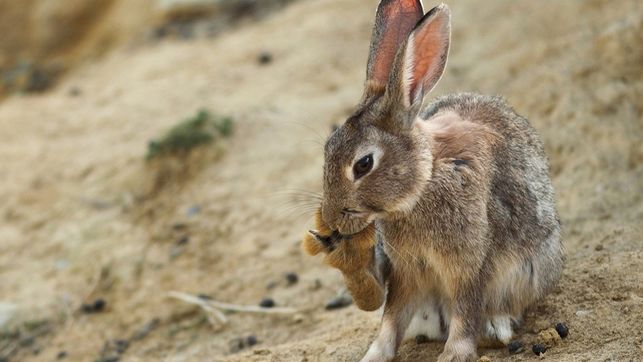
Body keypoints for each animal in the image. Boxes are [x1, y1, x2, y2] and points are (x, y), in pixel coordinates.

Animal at [306, 0, 564, 362]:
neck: (424, 180)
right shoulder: (406, 271)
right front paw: (374, 355)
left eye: (363, 164)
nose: (331, 219)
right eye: (328, 148)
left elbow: (465, 311)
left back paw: (495, 329)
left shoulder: (468, 265)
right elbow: (392, 318)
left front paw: (454, 354)